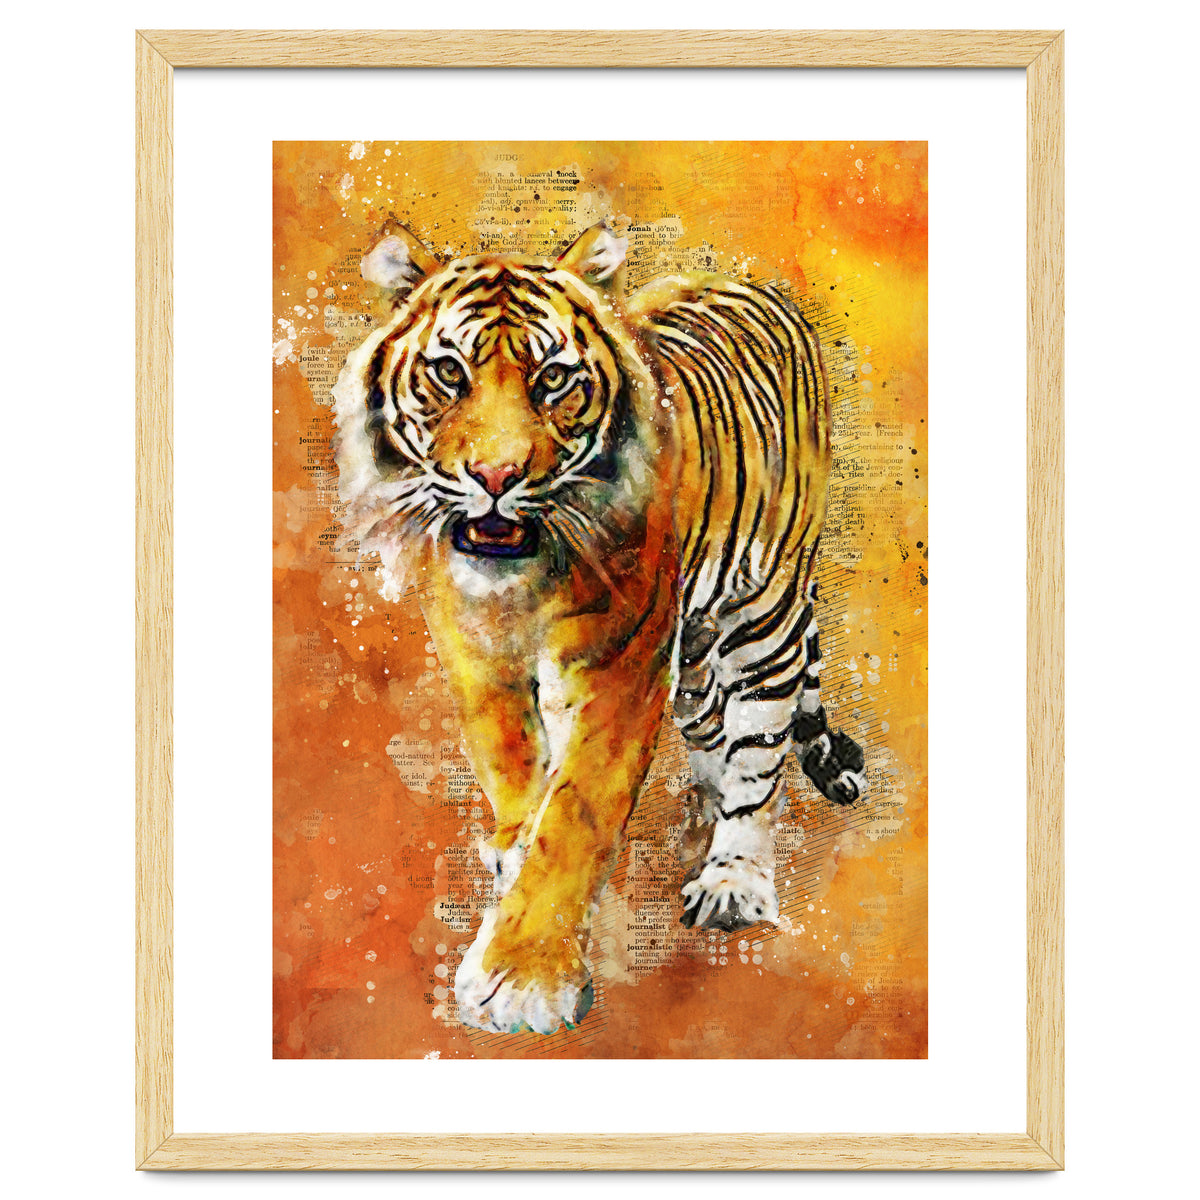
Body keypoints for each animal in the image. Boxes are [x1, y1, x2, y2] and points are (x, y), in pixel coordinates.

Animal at [331, 220, 866, 1035]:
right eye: (449, 373)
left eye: (554, 379)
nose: (496, 477)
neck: (519, 584)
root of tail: (750, 282)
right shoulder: (474, 648)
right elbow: (512, 763)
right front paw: (514, 847)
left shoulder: (620, 666)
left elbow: (576, 813)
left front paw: (523, 978)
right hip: (697, 650)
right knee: (712, 728)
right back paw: (702, 809)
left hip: (762, 610)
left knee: (760, 750)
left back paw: (733, 877)